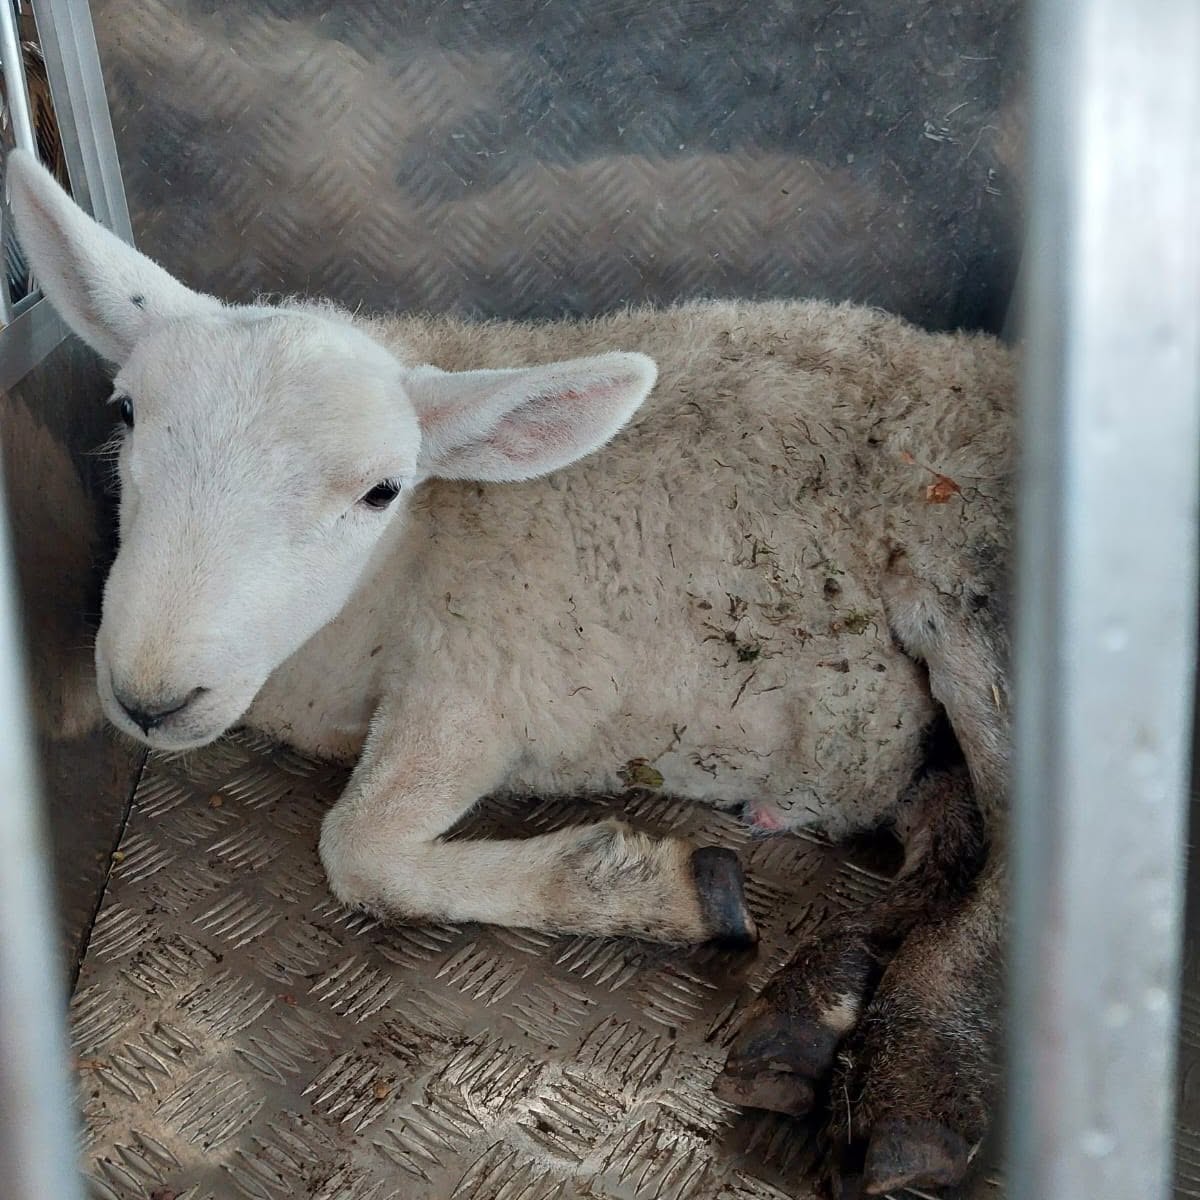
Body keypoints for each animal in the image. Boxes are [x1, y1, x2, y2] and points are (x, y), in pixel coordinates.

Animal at [7, 147, 1013, 1196]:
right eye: (125, 412)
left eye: (382, 491)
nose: (150, 697)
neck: (391, 581)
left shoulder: (477, 687)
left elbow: (358, 850)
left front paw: (651, 884)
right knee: (951, 836)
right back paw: (815, 1010)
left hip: (969, 592)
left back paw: (914, 1080)